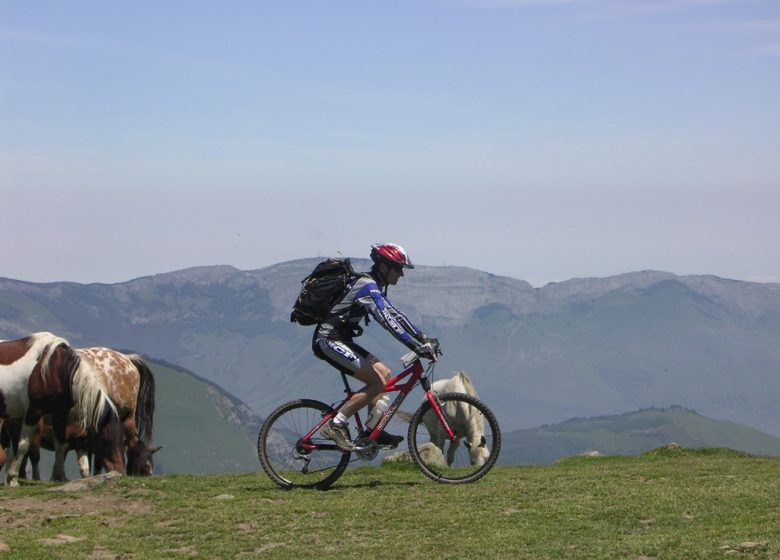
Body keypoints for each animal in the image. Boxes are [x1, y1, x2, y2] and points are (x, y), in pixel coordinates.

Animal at [0, 332, 116, 486]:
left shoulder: (60, 412)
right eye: (105, 439)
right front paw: (13, 479)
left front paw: (60, 476)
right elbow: (24, 445)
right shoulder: (33, 411)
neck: (56, 370)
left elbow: (60, 443)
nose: (116, 469)